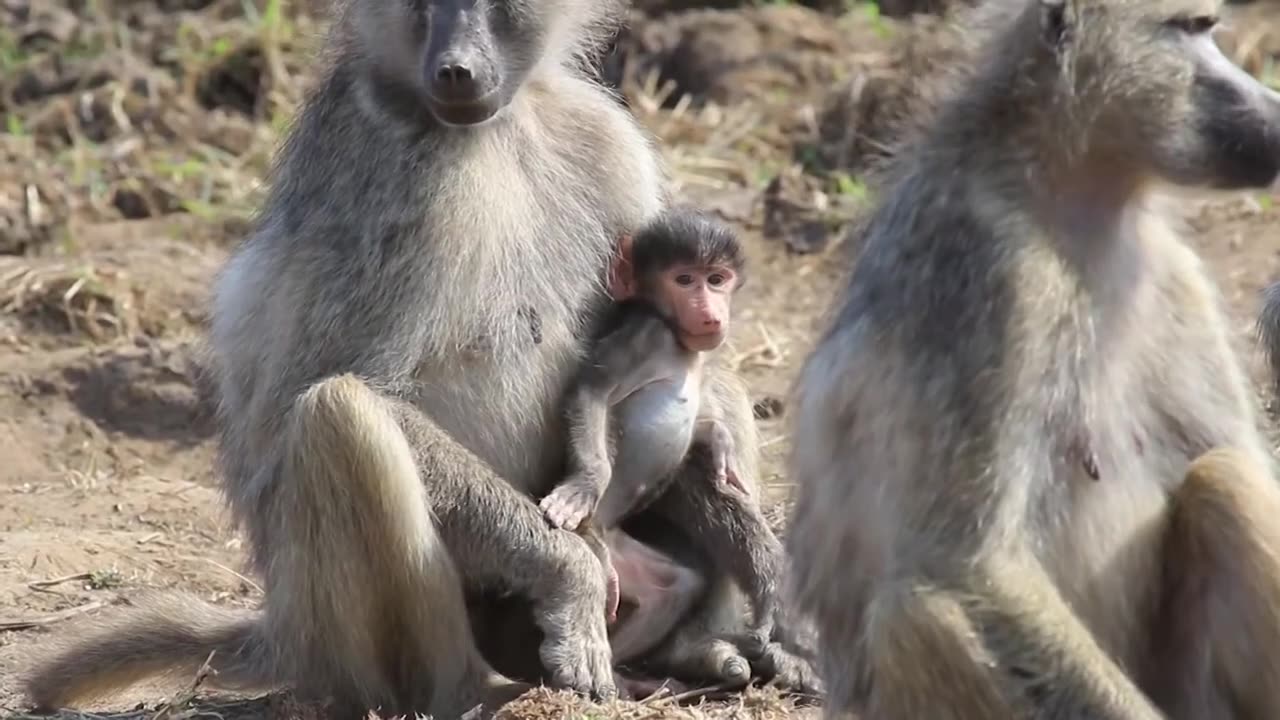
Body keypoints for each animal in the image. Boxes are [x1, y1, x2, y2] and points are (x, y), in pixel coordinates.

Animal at [20, 0, 814, 715]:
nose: (455, 68)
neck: (489, 131)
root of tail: (285, 633)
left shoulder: (604, 135)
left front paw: (775, 584)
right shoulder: (385, 179)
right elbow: (351, 385)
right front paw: (572, 580)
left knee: (712, 383)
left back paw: (698, 650)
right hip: (345, 632)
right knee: (338, 411)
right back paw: (473, 692)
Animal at [784, 0, 1280, 718]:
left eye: (1208, 28)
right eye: (1190, 27)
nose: (1272, 113)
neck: (1060, 192)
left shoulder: (1174, 274)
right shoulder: (998, 283)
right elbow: (973, 563)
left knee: (1225, 477)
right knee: (914, 616)